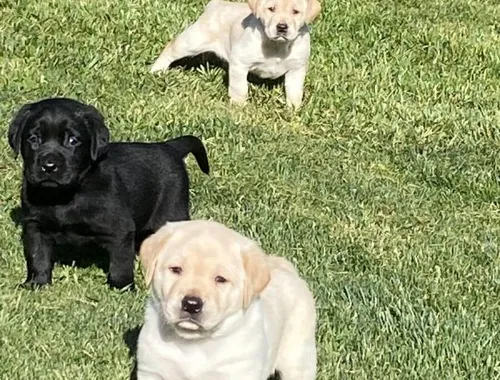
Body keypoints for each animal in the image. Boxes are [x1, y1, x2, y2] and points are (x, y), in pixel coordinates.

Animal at [9, 97, 209, 288]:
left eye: (73, 140)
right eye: (33, 138)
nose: (49, 166)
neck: (65, 195)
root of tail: (169, 147)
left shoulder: (120, 229)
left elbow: (120, 263)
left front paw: (121, 287)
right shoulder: (35, 226)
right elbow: (38, 257)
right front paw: (37, 283)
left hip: (172, 210)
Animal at [137, 220, 316, 380]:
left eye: (220, 279)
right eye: (175, 269)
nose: (191, 304)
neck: (194, 344)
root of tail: (287, 269)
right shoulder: (151, 370)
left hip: (297, 358)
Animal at [149, 0, 320, 107]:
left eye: (295, 12)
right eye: (271, 9)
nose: (282, 27)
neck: (277, 46)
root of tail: (215, 4)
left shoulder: (297, 69)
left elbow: (294, 91)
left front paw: (293, 110)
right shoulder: (240, 63)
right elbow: (240, 87)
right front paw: (239, 107)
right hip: (193, 40)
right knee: (171, 48)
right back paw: (156, 71)